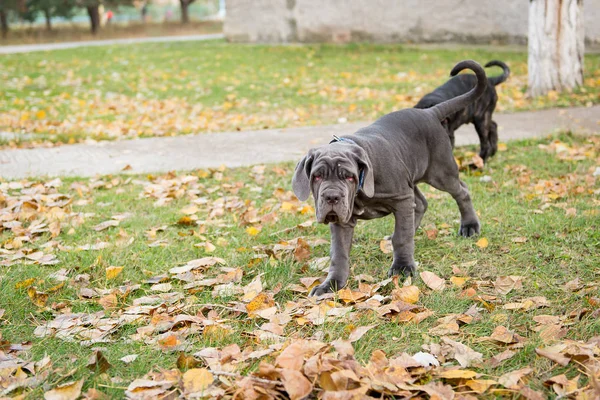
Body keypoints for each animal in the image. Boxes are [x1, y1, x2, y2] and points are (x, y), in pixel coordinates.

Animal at [292, 60, 488, 296]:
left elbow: (402, 238)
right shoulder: (343, 220)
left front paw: (403, 268)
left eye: (349, 177)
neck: (361, 190)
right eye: (317, 176)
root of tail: (430, 113)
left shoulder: (400, 197)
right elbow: (339, 253)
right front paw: (330, 285)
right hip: (412, 178)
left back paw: (469, 226)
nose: (331, 197)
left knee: (461, 191)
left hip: (440, 172)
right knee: (420, 204)